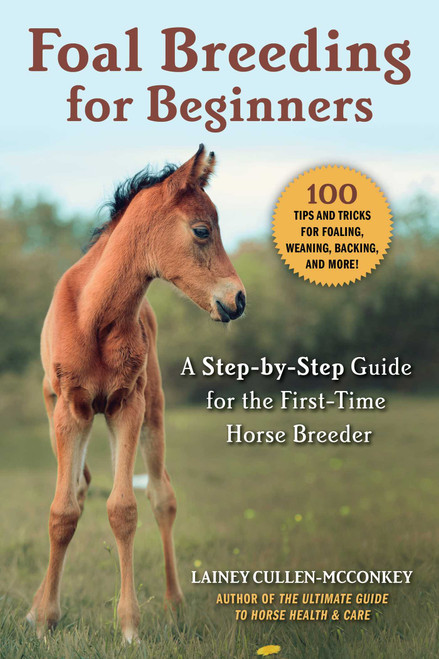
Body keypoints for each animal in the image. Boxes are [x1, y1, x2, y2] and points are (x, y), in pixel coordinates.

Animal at [26, 145, 246, 642]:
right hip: (61, 415)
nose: (238, 300)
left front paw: (129, 627)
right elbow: (62, 511)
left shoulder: (127, 405)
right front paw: (43, 619)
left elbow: (124, 509)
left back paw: (175, 605)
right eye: (202, 230)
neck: (95, 317)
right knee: (80, 488)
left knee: (162, 497)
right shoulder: (70, 409)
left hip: (152, 411)